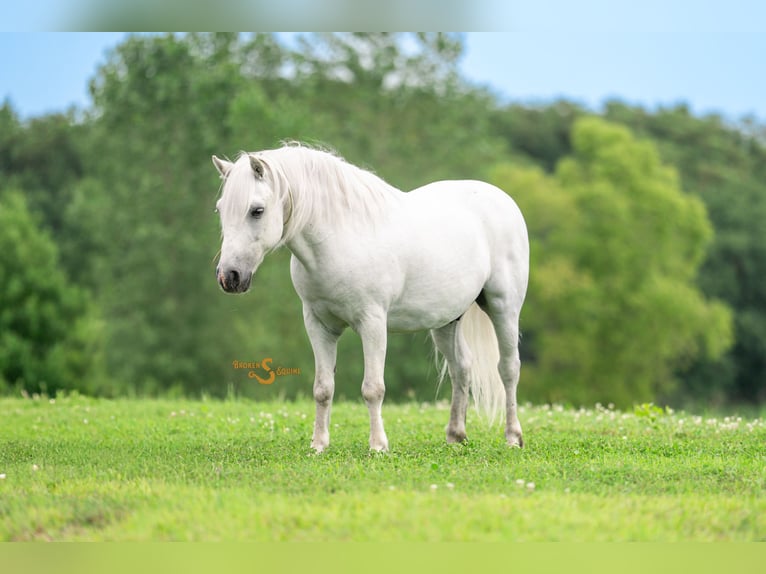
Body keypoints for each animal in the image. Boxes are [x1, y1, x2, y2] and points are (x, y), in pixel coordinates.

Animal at [212, 144, 529, 452]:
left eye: (257, 210)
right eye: (220, 210)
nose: (229, 277)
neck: (339, 239)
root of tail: (503, 199)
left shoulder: (372, 323)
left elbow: (373, 388)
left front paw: (378, 445)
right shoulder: (318, 325)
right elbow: (323, 388)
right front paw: (319, 444)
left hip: (503, 307)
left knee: (508, 368)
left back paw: (513, 437)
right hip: (447, 321)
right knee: (461, 367)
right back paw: (456, 435)